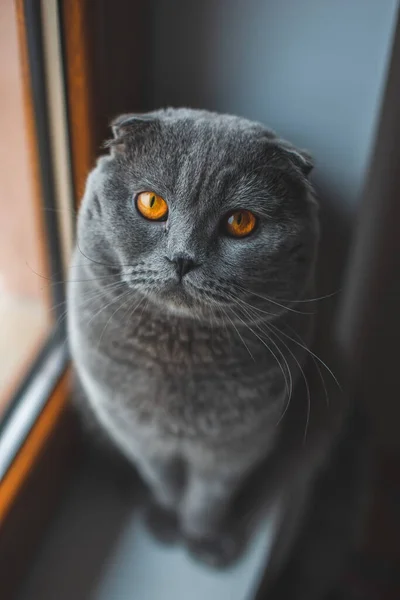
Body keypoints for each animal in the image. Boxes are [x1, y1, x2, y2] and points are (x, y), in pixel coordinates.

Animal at [66, 110, 368, 596]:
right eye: (151, 203)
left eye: (241, 222)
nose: (183, 259)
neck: (178, 357)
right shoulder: (133, 429)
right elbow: (163, 481)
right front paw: (166, 520)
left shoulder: (240, 443)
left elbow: (209, 498)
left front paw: (203, 540)